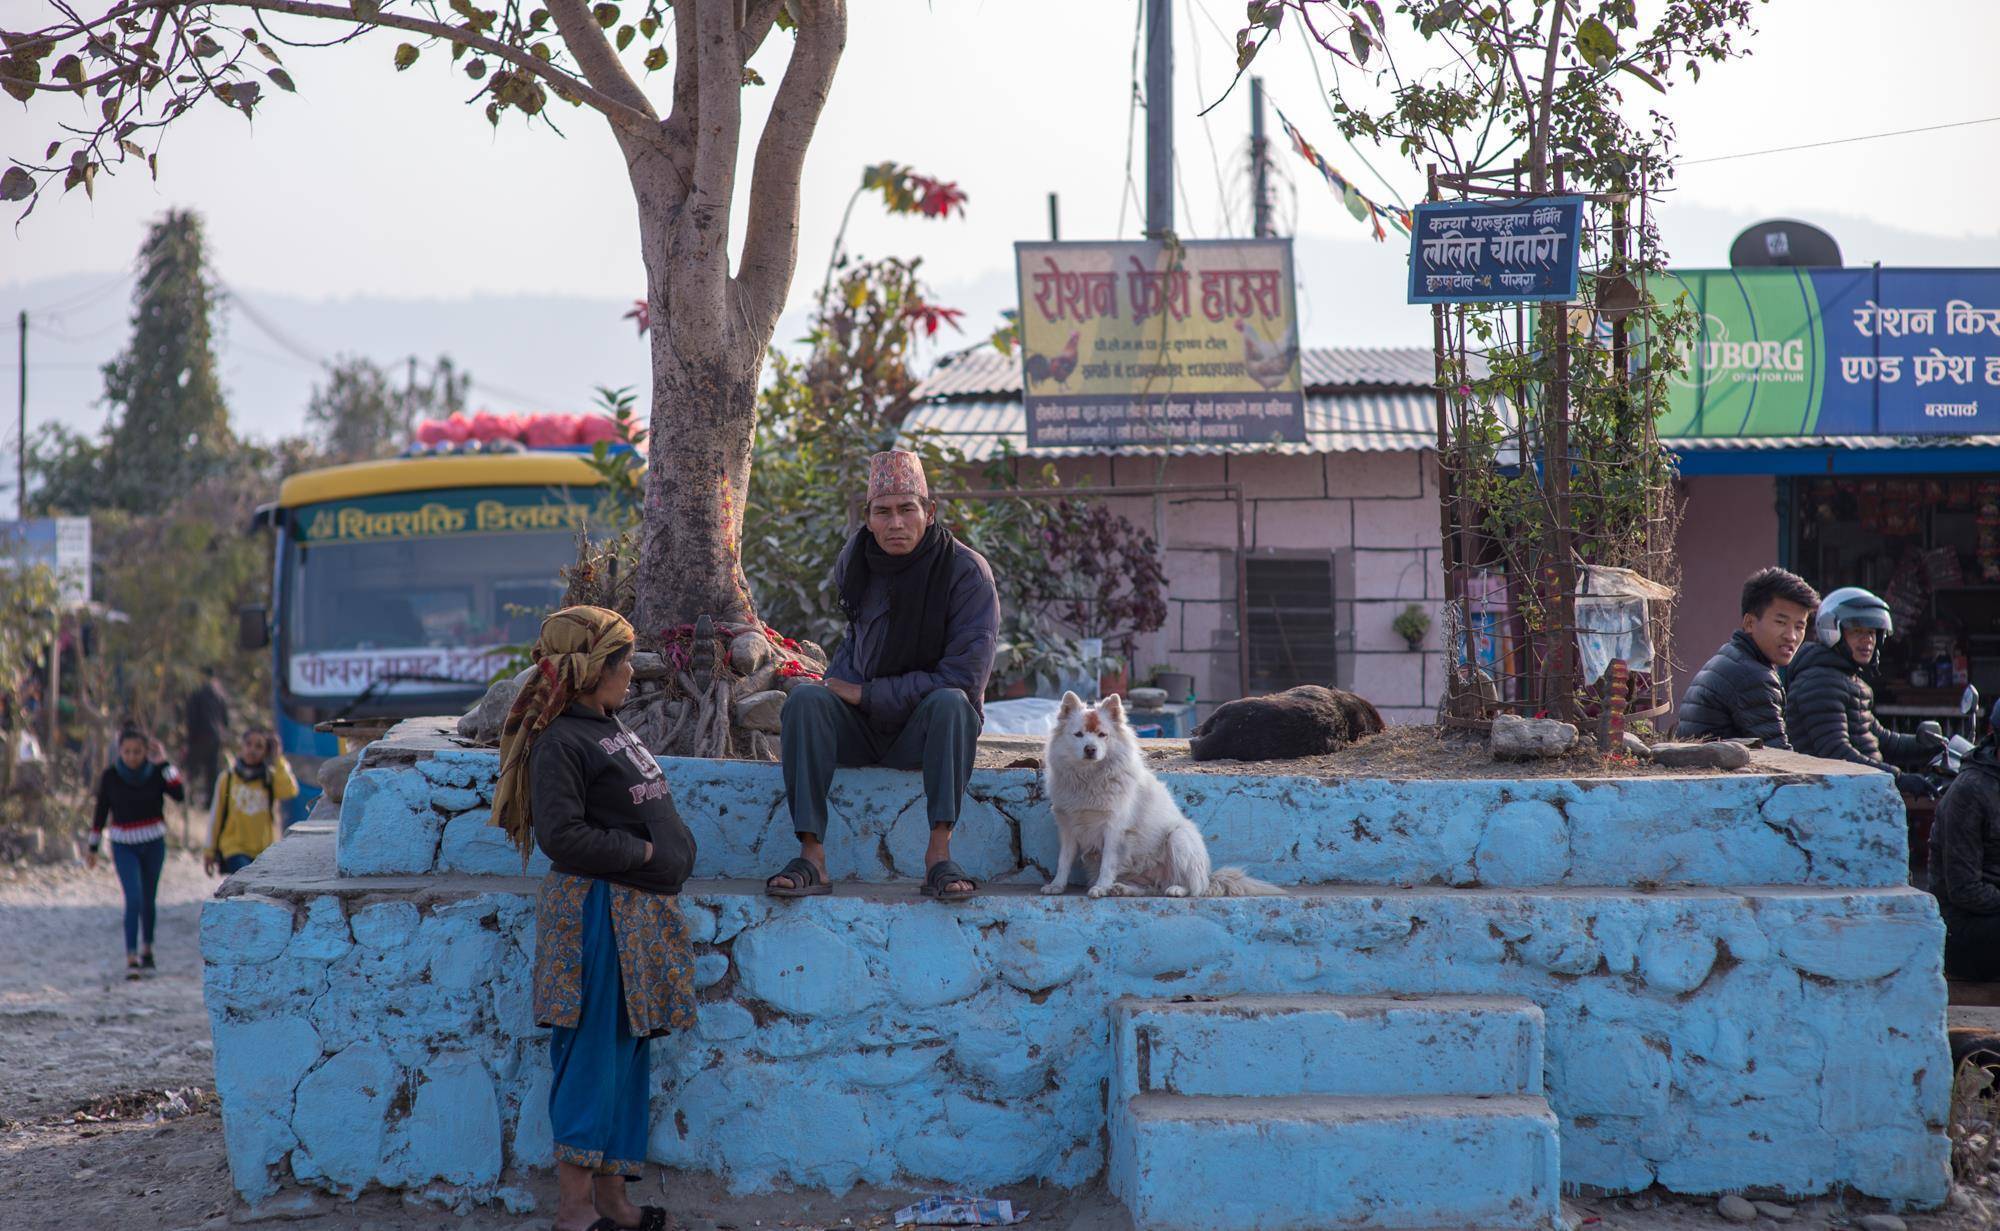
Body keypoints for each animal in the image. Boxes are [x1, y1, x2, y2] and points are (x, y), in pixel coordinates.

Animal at [1048, 687, 1280, 899]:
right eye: (1078, 735)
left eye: (1102, 735)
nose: (1090, 749)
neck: (1089, 778)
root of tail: (1210, 876)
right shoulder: (1067, 828)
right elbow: (1063, 860)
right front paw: (1057, 885)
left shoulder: (1114, 829)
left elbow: (1107, 863)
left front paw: (1100, 887)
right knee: (1150, 888)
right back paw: (1122, 888)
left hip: (1179, 838)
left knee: (1193, 887)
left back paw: (1176, 889)